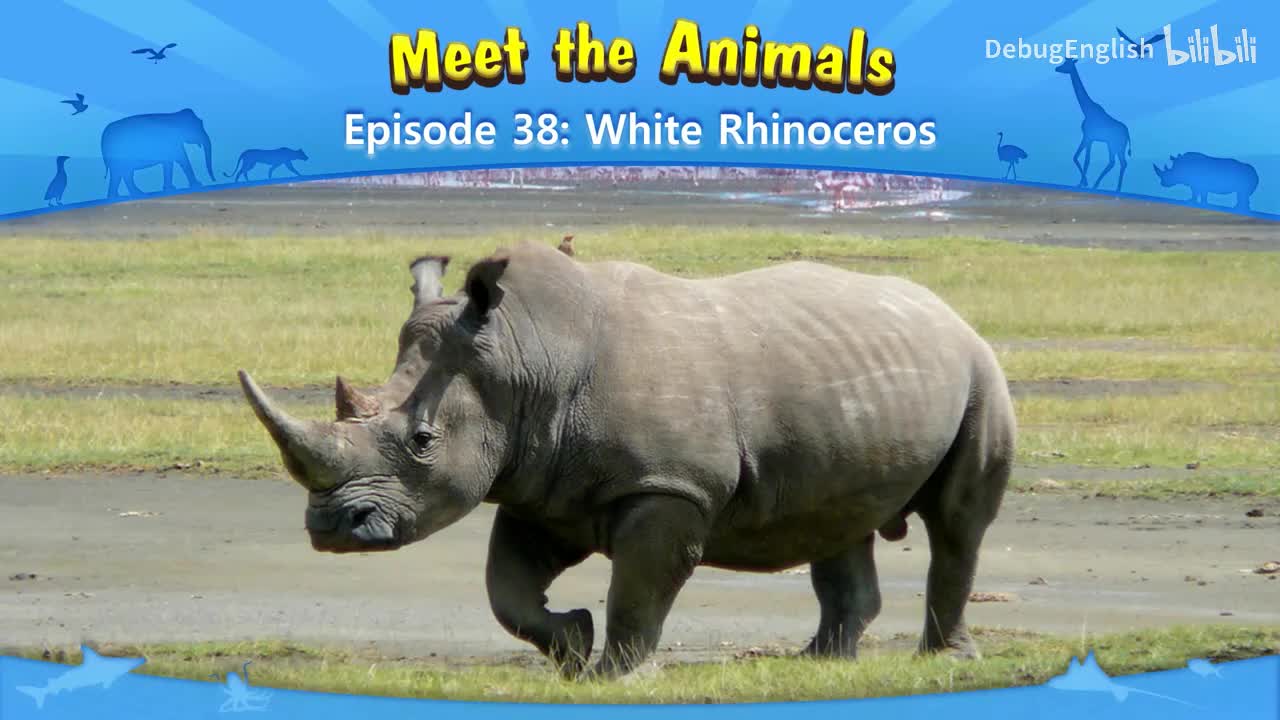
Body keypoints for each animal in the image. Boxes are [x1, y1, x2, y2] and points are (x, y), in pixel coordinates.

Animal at [238, 242, 1016, 678]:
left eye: (423, 443)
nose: (331, 529)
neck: (523, 358)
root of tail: (946, 311)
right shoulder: (540, 484)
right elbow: (505, 590)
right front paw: (572, 646)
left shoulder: (668, 486)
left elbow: (639, 589)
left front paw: (616, 675)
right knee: (838, 519)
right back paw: (821, 665)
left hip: (982, 371)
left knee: (957, 525)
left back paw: (943, 661)